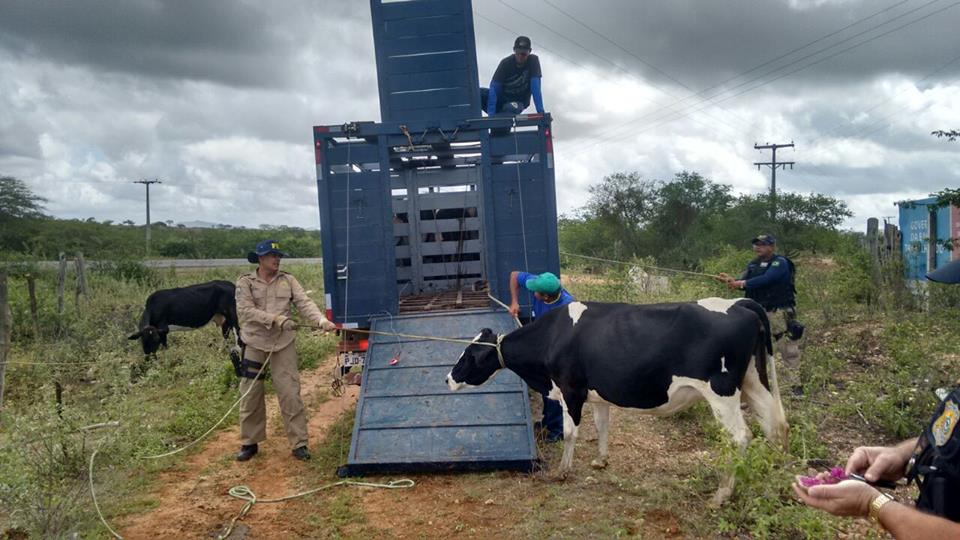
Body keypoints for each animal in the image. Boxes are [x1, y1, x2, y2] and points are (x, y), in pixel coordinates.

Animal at [448, 298, 788, 504]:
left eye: (468, 355)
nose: (448, 379)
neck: (552, 337)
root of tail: (737, 303)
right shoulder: (597, 394)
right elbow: (602, 425)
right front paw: (601, 460)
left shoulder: (570, 389)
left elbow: (571, 433)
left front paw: (562, 471)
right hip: (753, 380)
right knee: (775, 426)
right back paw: (772, 481)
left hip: (722, 392)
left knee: (740, 437)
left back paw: (721, 494)